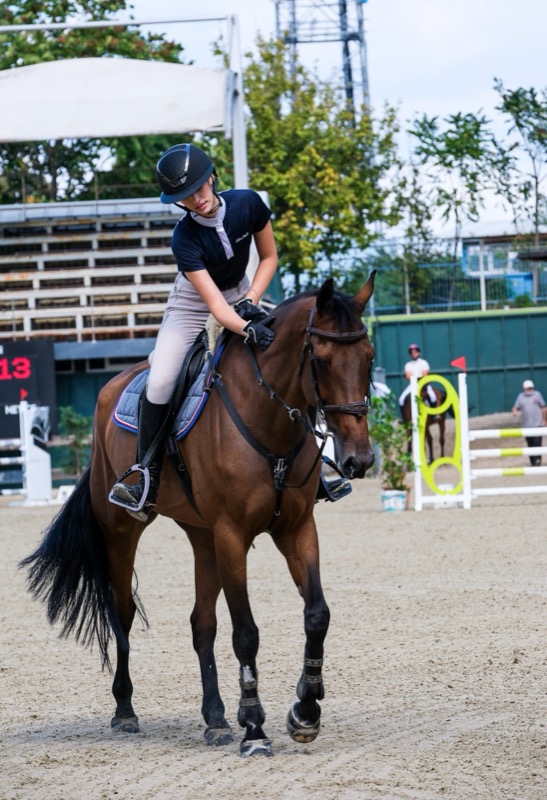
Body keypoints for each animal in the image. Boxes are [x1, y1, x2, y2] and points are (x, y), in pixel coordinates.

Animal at [20, 273, 376, 758]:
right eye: (320, 361)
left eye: (369, 357)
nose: (360, 460)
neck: (266, 417)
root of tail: (113, 385)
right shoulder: (232, 535)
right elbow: (245, 632)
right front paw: (255, 729)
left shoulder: (296, 528)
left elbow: (317, 614)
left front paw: (305, 712)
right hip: (122, 532)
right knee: (122, 613)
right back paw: (126, 710)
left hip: (200, 534)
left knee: (201, 624)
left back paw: (216, 718)